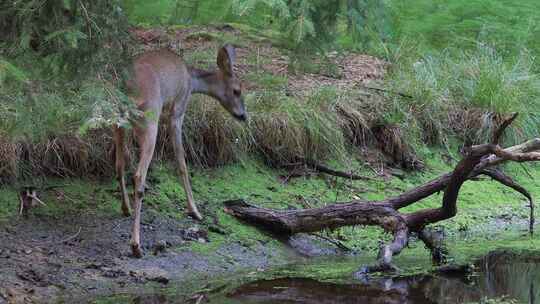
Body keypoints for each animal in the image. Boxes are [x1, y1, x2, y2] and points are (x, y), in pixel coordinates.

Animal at [115, 44, 248, 256]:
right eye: (236, 90)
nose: (243, 115)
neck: (191, 80)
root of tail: (129, 92)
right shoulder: (178, 110)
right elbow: (181, 161)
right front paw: (195, 210)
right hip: (150, 120)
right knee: (139, 176)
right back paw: (136, 245)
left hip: (117, 120)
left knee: (119, 164)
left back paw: (126, 208)